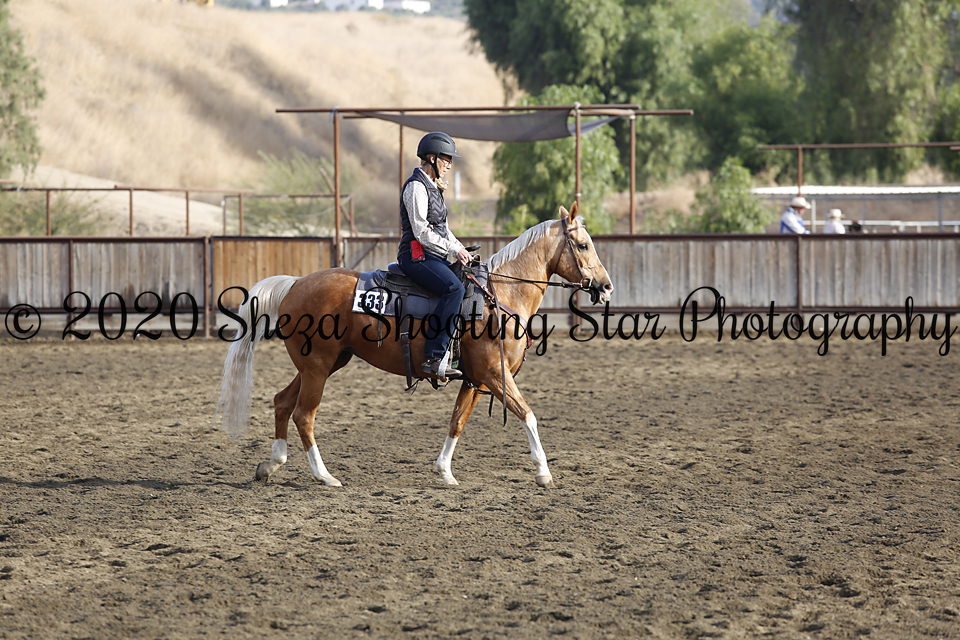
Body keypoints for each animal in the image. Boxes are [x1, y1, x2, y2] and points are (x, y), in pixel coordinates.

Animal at [215, 202, 614, 487]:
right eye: (583, 244)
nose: (606, 287)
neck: (499, 296)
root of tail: (295, 283)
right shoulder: (496, 374)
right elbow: (528, 414)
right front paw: (543, 471)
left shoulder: (475, 380)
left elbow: (457, 422)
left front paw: (445, 472)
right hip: (317, 367)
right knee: (304, 414)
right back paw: (324, 476)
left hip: (323, 363)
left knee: (283, 402)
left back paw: (271, 464)